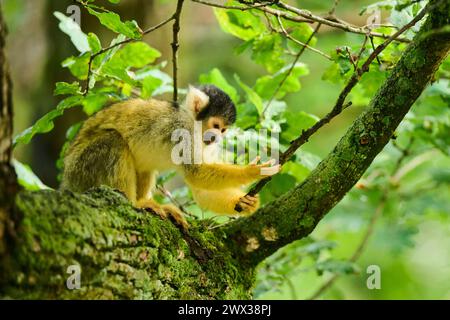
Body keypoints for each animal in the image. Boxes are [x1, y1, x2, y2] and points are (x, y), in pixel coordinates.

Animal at [59, 85, 278, 229]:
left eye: (223, 130)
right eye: (215, 125)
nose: (216, 137)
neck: (193, 123)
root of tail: (66, 181)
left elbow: (200, 190)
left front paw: (244, 202)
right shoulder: (181, 129)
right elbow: (195, 173)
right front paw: (252, 172)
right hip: (80, 168)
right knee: (113, 140)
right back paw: (134, 203)